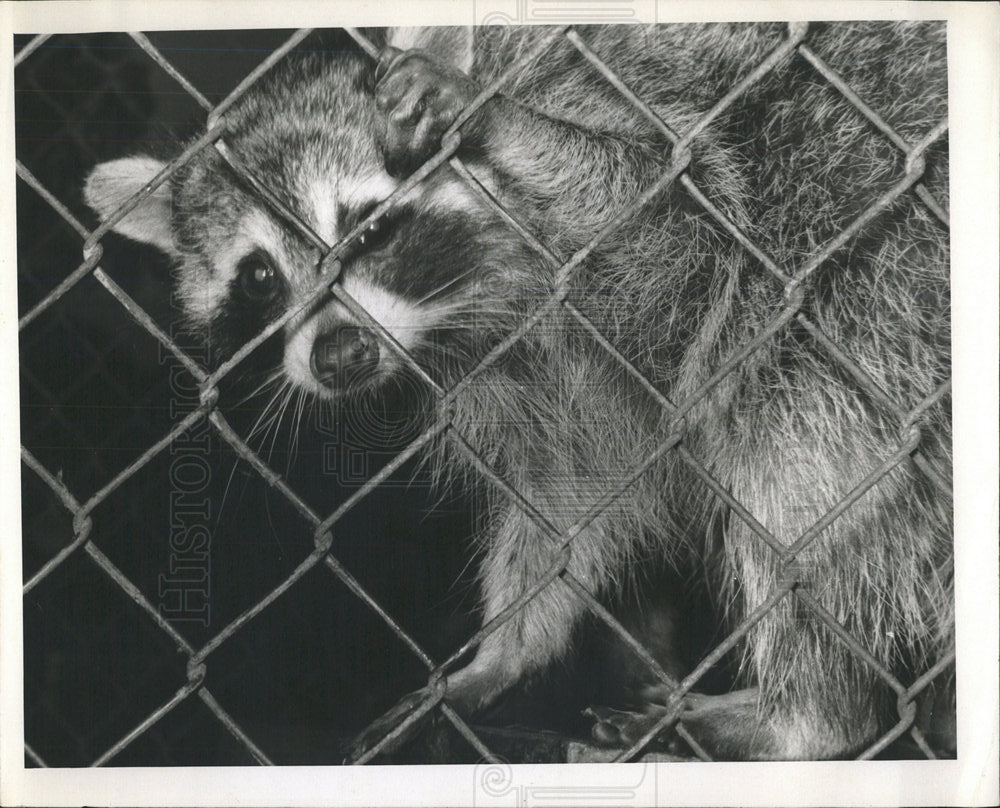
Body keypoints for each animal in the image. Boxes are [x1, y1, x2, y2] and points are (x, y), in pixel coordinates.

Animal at [86, 22, 952, 760]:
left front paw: (491, 116)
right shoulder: (518, 383)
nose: (338, 355)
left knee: (798, 467)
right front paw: (509, 645)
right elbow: (566, 494)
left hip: (881, 298)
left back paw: (810, 717)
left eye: (369, 230)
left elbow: (678, 224)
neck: (470, 303)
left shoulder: (666, 169)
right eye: (260, 278)